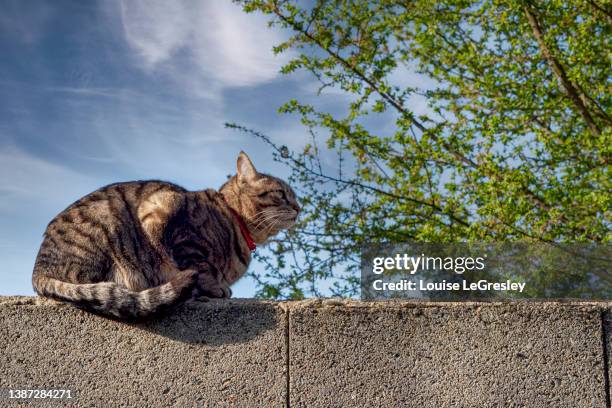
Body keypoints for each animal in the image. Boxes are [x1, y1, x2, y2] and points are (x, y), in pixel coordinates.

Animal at [32, 151, 300, 320]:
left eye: (294, 197)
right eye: (281, 194)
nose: (299, 208)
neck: (233, 218)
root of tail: (38, 270)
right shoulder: (161, 208)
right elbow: (198, 265)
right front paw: (213, 288)